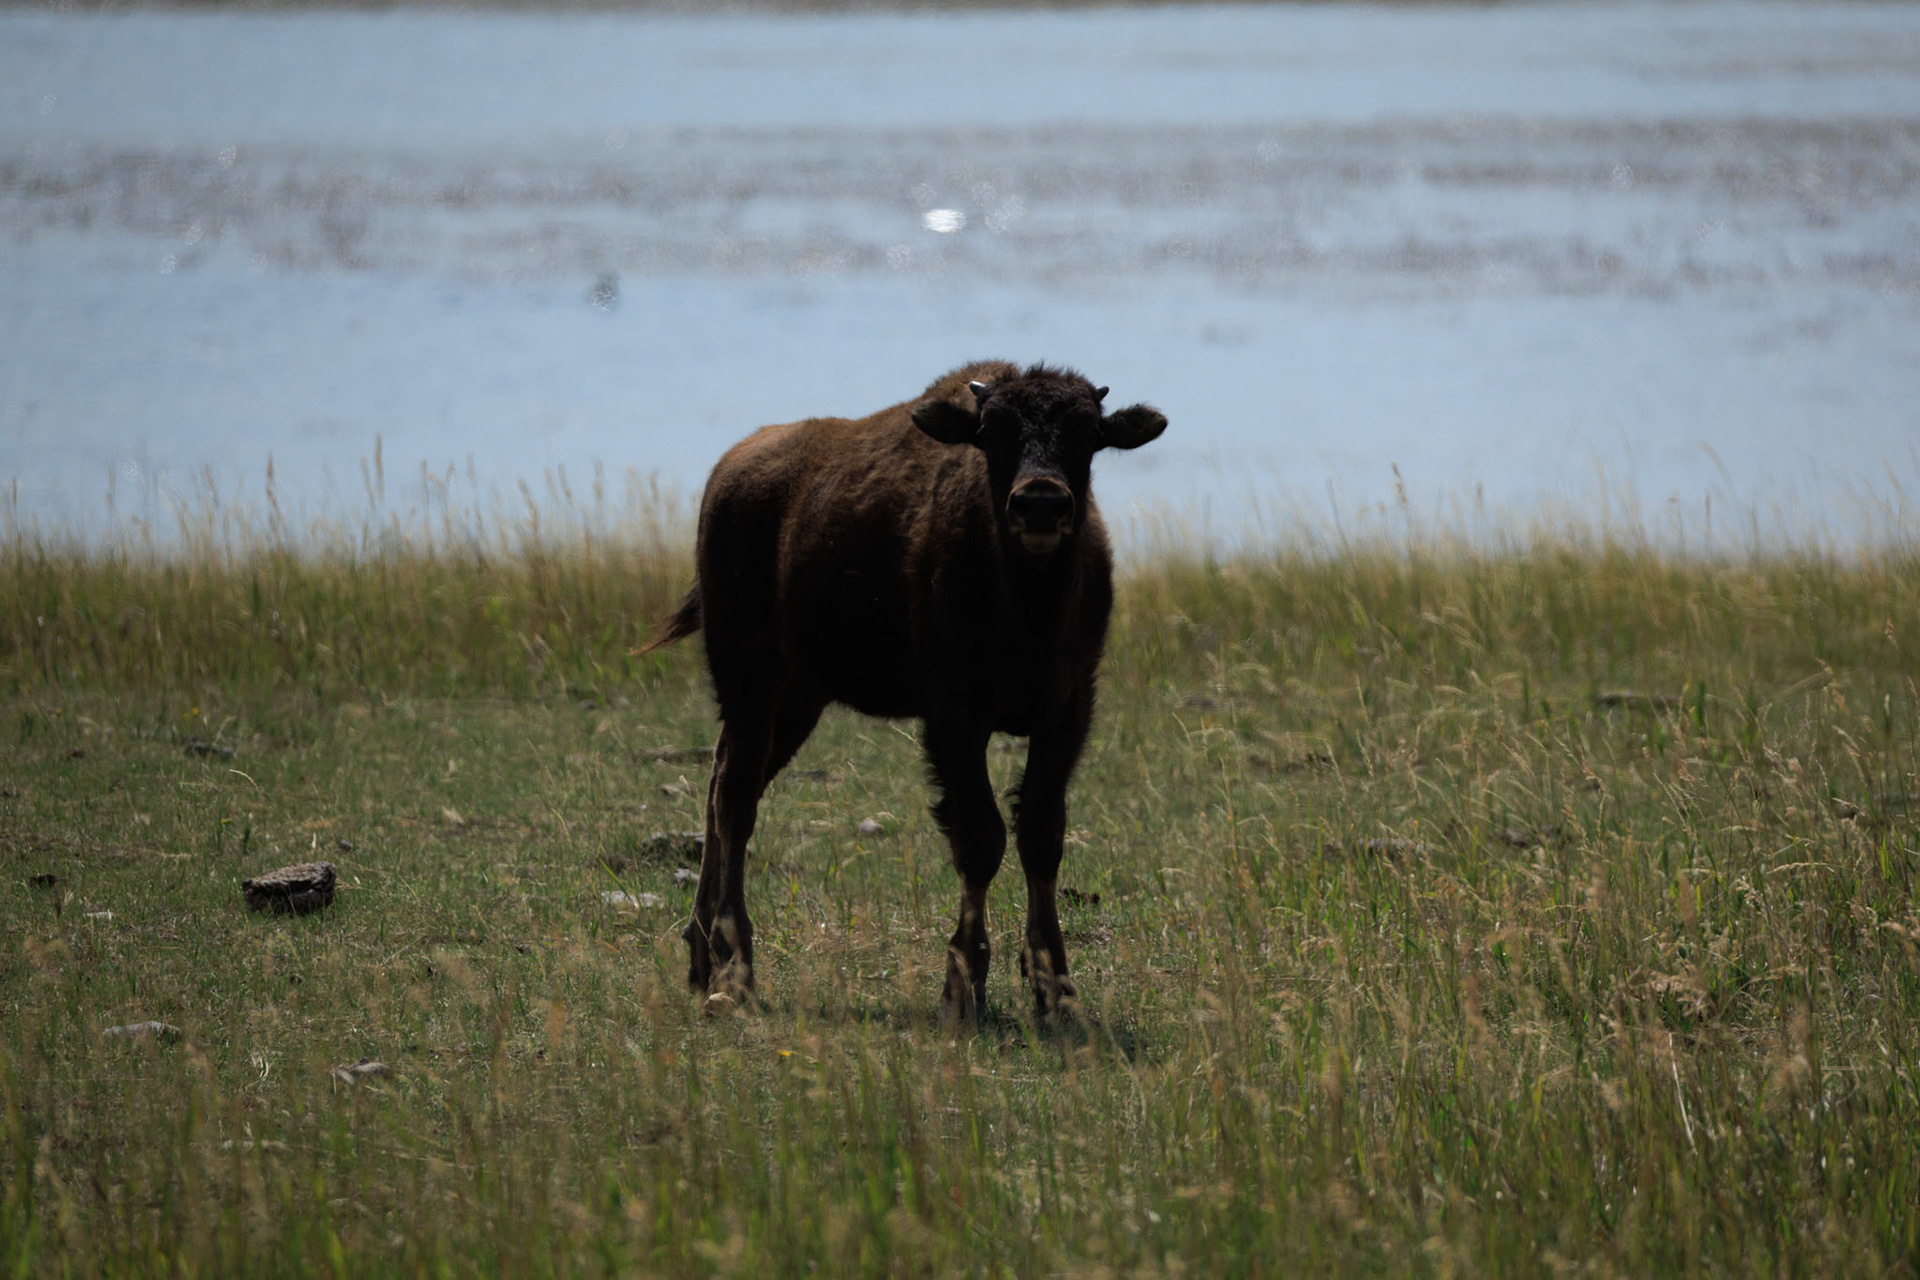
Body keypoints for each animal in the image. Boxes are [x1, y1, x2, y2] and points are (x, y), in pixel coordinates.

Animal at [646, 361, 1166, 1019]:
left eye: (1088, 434)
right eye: (991, 433)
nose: (1041, 504)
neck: (1028, 603)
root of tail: (729, 470)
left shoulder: (1068, 710)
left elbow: (1040, 835)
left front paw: (1055, 988)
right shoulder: (954, 718)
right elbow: (981, 838)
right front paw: (962, 987)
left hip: (798, 698)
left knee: (725, 782)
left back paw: (701, 959)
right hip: (749, 674)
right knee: (736, 799)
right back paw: (736, 970)